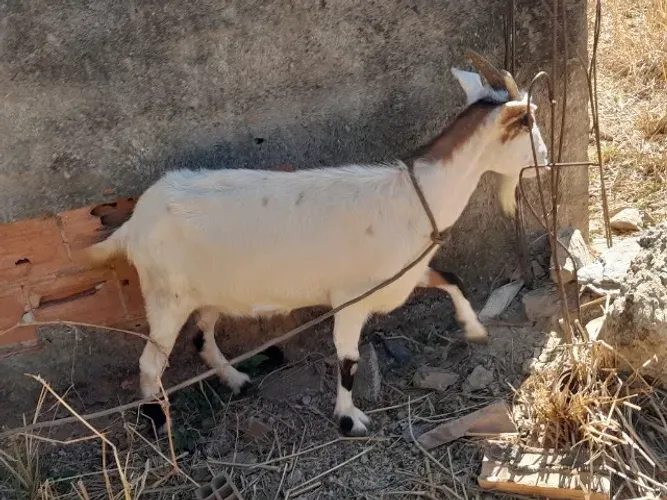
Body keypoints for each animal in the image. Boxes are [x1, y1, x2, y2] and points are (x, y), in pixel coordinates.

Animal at [82, 50, 548, 437]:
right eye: (529, 124)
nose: (545, 160)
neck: (414, 198)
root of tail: (134, 224)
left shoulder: (402, 276)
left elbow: (452, 279)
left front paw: (475, 330)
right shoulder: (351, 297)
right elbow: (348, 359)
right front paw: (349, 419)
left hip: (207, 291)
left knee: (201, 338)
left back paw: (237, 381)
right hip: (166, 296)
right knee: (150, 362)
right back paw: (158, 422)